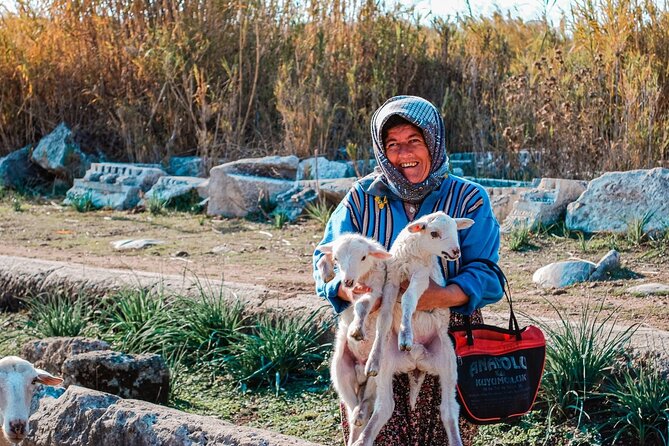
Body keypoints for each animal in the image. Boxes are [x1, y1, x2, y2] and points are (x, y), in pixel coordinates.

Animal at [314, 233, 388, 442]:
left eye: (363, 257)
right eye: (337, 258)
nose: (346, 282)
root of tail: (361, 371)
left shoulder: (375, 289)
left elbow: (363, 305)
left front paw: (356, 330)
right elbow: (322, 257)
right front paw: (327, 274)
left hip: (376, 375)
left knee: (368, 400)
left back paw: (361, 414)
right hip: (340, 371)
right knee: (350, 404)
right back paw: (357, 418)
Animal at [358, 212, 472, 446]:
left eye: (456, 230)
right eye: (434, 233)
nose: (456, 252)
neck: (414, 255)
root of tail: (417, 363)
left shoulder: (421, 277)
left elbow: (409, 298)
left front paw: (405, 336)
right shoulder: (391, 279)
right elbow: (384, 317)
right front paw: (373, 358)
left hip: (448, 362)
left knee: (448, 410)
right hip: (388, 365)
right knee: (385, 408)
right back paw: (363, 439)